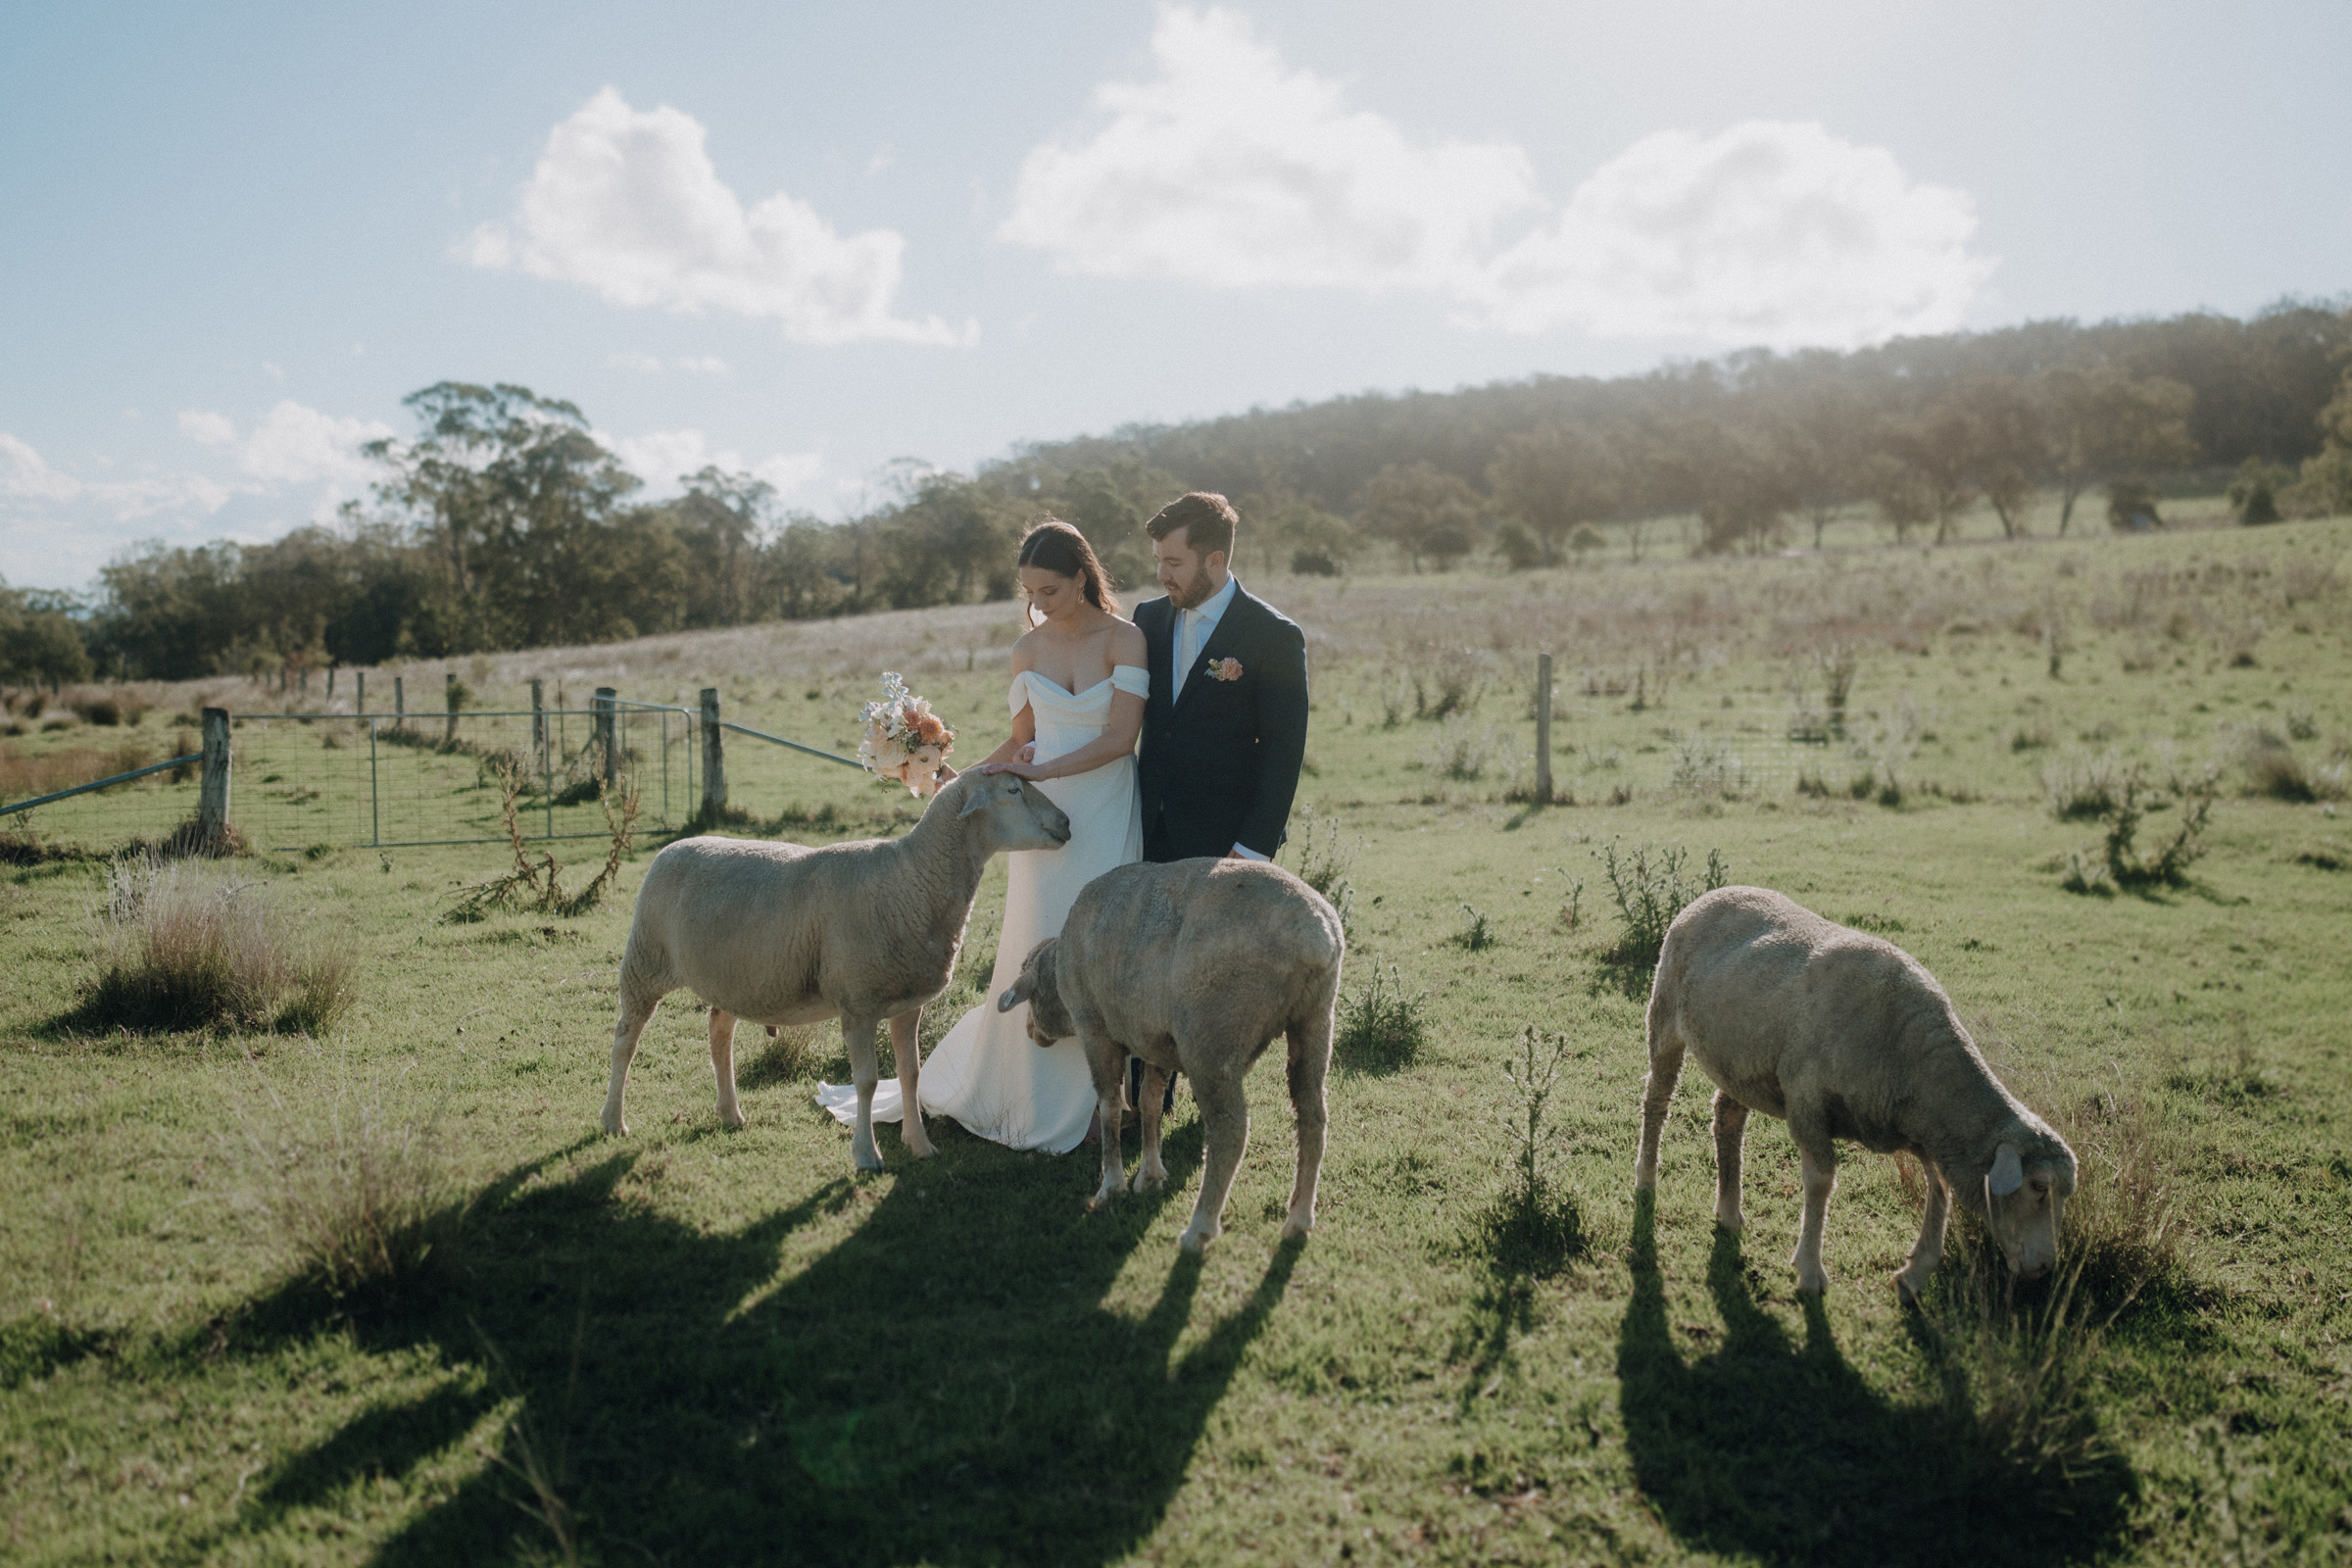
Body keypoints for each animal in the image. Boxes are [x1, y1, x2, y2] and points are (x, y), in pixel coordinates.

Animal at [607, 766, 1082, 1170]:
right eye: (1012, 790)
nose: (1066, 823)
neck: (912, 880)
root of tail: (672, 846)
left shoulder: (908, 1004)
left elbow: (910, 1073)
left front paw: (920, 1145)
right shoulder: (858, 1002)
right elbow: (867, 1082)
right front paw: (867, 1155)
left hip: (732, 975)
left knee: (719, 1032)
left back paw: (729, 1113)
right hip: (645, 961)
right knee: (625, 1040)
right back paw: (614, 1120)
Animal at [992, 851, 1345, 1259]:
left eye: (1030, 996)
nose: (1030, 1034)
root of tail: (1316, 935)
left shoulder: (1095, 1028)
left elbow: (1110, 1105)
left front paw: (1111, 1186)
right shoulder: (1153, 1040)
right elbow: (1149, 1102)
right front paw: (1150, 1175)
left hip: (1212, 1039)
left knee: (1230, 1131)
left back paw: (1200, 1228)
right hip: (1316, 1019)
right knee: (1313, 1117)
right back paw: (1299, 1219)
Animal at [1637, 883, 2079, 1298]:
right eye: (2039, 1187)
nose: (2044, 1268)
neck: (1909, 1052)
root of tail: (1714, 893)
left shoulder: (1919, 1129)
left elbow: (1940, 1190)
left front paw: (1914, 1274)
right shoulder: (1808, 1102)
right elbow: (1821, 1183)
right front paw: (1810, 1270)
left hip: (1742, 1060)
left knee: (1727, 1117)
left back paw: (1729, 1212)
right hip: (1664, 1016)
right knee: (1657, 1101)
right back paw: (1646, 1177)